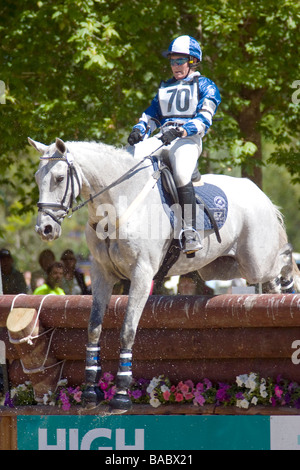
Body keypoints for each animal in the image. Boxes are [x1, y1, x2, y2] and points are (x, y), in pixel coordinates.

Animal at [29, 137, 296, 412]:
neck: (117, 205)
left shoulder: (142, 273)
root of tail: (258, 193)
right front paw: (91, 391)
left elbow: (127, 329)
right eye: (37, 178)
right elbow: (93, 327)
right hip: (219, 265)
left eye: (60, 178)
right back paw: (277, 293)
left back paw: (288, 286)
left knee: (284, 257)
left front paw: (121, 394)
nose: (44, 229)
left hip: (255, 260)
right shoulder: (101, 273)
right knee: (268, 273)